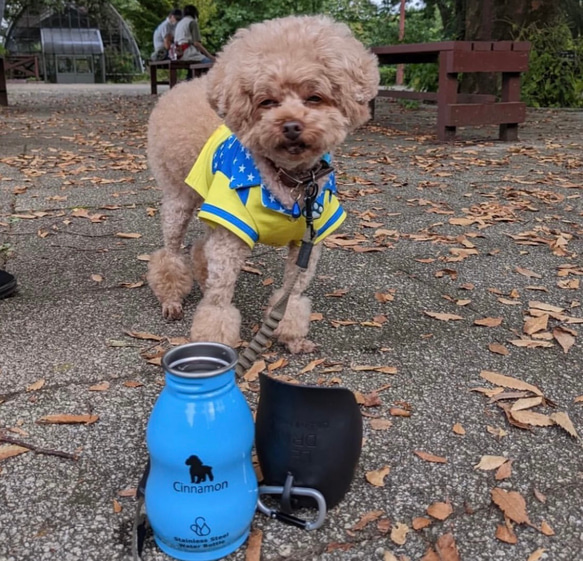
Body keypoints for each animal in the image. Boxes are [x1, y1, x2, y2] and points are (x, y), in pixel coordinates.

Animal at [147, 15, 378, 352]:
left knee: (202, 246)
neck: (290, 179)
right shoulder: (231, 232)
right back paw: (171, 298)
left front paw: (292, 337)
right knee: (170, 252)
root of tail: (184, 87)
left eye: (315, 98)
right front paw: (215, 344)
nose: (292, 125)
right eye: (267, 101)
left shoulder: (307, 242)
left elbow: (292, 294)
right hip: (181, 196)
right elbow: (218, 302)